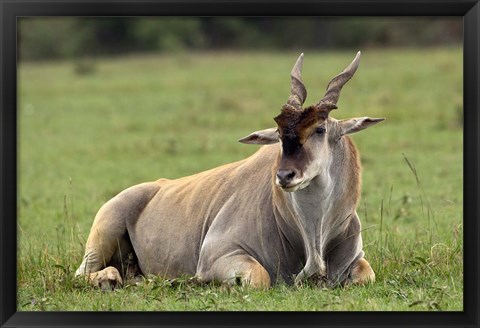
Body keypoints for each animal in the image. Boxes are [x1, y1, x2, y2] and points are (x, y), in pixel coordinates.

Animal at [75, 51, 382, 290]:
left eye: (320, 129)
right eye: (280, 135)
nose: (285, 176)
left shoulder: (358, 262)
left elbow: (366, 274)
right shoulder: (218, 255)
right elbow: (259, 277)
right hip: (103, 235)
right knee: (84, 274)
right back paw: (112, 279)